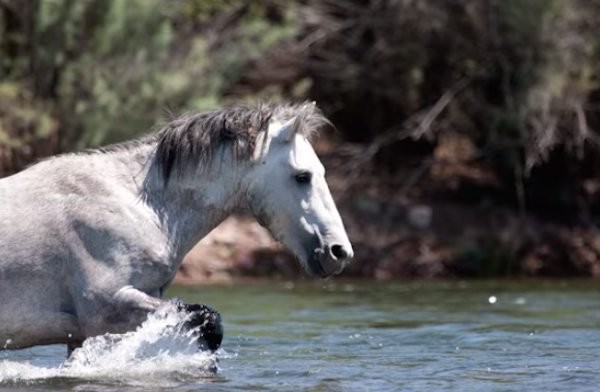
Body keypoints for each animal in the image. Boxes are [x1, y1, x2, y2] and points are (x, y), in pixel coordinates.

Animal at [0, 101, 354, 356]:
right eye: (302, 176)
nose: (339, 251)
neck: (141, 207)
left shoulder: (88, 331)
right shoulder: (107, 307)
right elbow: (210, 323)